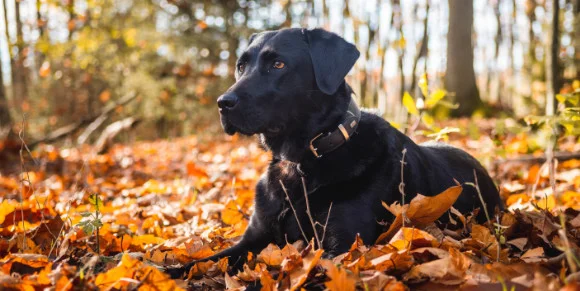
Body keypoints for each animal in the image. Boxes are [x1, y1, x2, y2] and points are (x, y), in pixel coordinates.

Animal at [165, 28, 500, 280]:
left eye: (278, 65)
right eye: (240, 66)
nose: (223, 103)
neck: (301, 162)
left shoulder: (339, 249)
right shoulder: (255, 237)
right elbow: (202, 261)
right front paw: (167, 272)